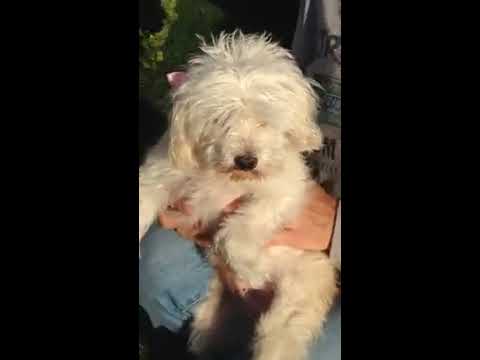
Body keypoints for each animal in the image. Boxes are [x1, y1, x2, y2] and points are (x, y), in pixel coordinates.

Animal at [139, 31, 338, 360]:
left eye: (264, 120)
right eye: (221, 120)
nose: (246, 160)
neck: (228, 178)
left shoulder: (284, 191)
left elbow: (240, 227)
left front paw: (250, 268)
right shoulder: (161, 173)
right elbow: (144, 199)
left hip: (300, 290)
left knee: (279, 335)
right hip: (212, 315)